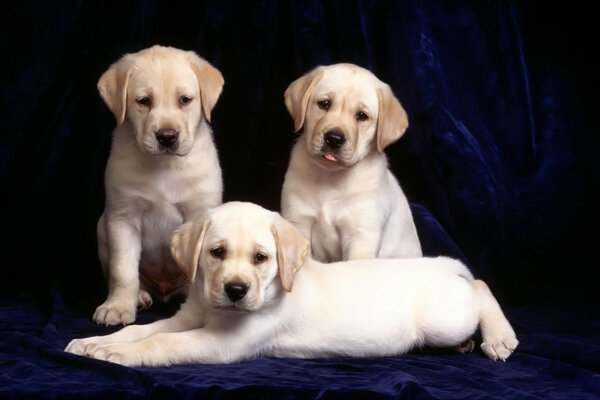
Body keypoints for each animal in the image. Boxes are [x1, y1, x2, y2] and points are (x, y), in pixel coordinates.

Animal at [64, 202, 516, 368]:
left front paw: (116, 354)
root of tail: (442, 265)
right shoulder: (188, 317)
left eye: (261, 258)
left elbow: (162, 342)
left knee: (480, 287)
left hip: (444, 316)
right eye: (216, 253)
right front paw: (94, 343)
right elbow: (144, 330)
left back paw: (499, 337)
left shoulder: (224, 342)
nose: (235, 291)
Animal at [94, 44, 225, 324]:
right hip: (102, 226)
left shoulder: (199, 213)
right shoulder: (123, 218)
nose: (167, 137)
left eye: (185, 100)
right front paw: (118, 306)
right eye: (144, 101)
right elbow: (123, 270)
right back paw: (140, 296)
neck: (164, 166)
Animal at [282, 63, 422, 262]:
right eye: (324, 104)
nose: (334, 139)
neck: (329, 177)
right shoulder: (298, 221)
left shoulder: (361, 237)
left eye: (362, 116)